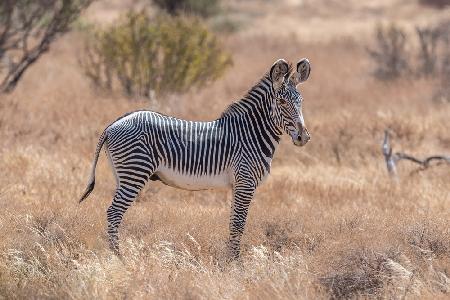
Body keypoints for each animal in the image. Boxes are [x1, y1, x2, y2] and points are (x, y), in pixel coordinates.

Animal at [81, 58, 312, 258]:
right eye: (281, 101)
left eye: (301, 101)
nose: (303, 137)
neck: (251, 133)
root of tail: (113, 125)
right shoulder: (246, 182)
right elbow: (239, 224)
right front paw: (234, 263)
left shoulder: (237, 184)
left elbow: (233, 222)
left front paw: (229, 260)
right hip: (135, 172)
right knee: (113, 213)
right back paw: (119, 258)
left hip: (122, 174)